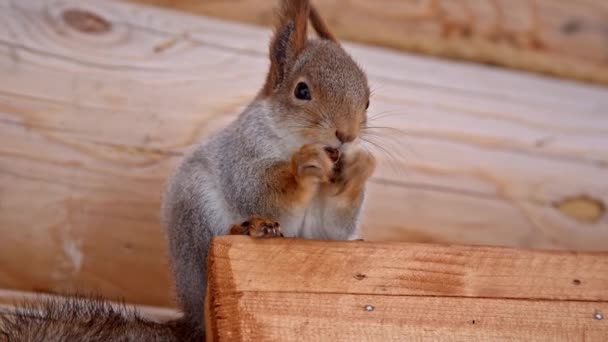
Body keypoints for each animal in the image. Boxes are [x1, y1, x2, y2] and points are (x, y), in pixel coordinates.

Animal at [1, 1, 376, 340]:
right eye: (302, 90)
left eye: (368, 101)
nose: (346, 135)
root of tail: (192, 317)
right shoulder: (241, 154)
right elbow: (260, 192)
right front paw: (303, 167)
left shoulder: (321, 230)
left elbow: (328, 229)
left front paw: (358, 169)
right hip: (197, 215)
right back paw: (247, 227)